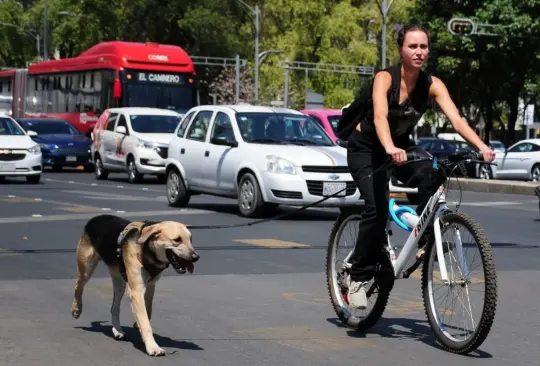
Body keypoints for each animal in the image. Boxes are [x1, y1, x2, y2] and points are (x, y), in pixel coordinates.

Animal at [70, 214, 198, 354]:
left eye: (191, 240)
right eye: (177, 240)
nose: (196, 257)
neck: (147, 250)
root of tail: (96, 218)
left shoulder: (150, 286)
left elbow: (147, 311)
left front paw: (138, 324)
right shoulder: (136, 291)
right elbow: (146, 322)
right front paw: (152, 346)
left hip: (119, 282)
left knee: (114, 308)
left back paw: (117, 331)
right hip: (86, 268)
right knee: (78, 287)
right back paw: (76, 309)